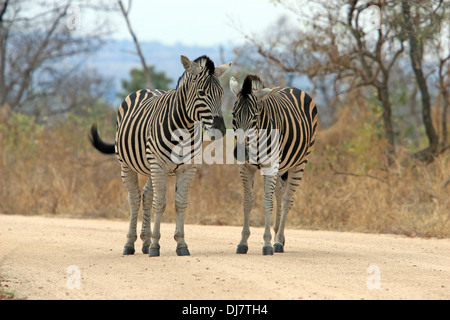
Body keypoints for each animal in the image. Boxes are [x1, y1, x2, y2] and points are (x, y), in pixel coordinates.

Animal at [90, 54, 232, 255]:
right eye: (201, 94)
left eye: (221, 93)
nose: (220, 129)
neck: (184, 128)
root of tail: (145, 89)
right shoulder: (159, 165)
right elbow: (160, 203)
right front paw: (156, 246)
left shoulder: (188, 168)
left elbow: (180, 204)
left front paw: (181, 244)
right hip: (127, 164)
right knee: (134, 198)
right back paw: (130, 244)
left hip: (150, 167)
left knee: (146, 195)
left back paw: (145, 242)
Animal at [230, 74, 318, 255]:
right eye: (233, 115)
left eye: (255, 117)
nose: (240, 152)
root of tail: (293, 88)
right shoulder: (245, 167)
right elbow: (247, 202)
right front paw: (243, 242)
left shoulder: (270, 166)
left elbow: (267, 203)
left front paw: (267, 244)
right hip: (281, 166)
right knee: (279, 194)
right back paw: (278, 235)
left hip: (300, 162)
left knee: (287, 199)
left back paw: (277, 242)